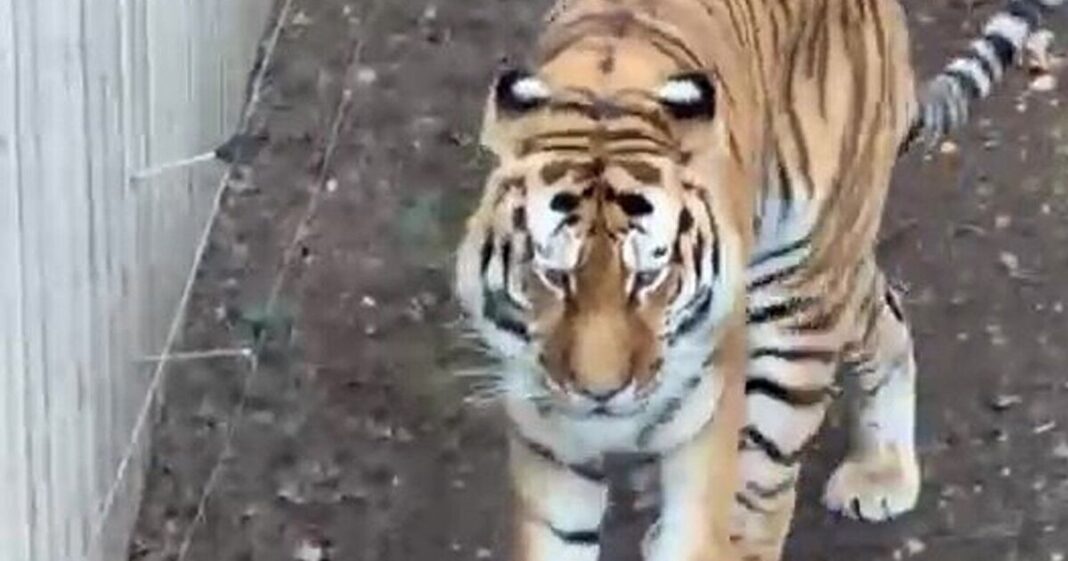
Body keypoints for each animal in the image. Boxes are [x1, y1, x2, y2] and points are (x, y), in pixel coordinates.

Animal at [452, 0, 1062, 559]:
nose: (600, 395)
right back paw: (880, 469)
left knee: (764, 485)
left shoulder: (705, 425)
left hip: (801, 292)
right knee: (885, 311)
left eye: (650, 275)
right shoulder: (548, 436)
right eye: (552, 273)